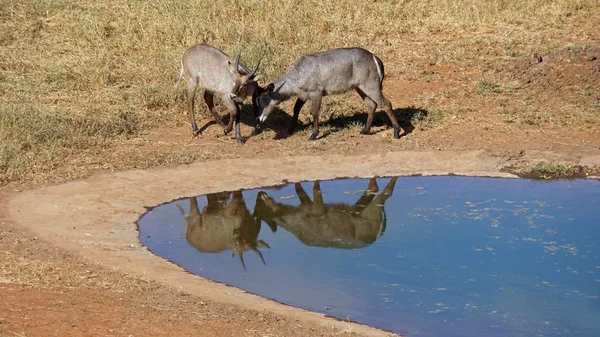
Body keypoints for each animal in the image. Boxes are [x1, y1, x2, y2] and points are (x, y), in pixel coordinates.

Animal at [254, 48, 400, 140]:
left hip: (371, 86)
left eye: (260, 99)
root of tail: (375, 58)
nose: (257, 119)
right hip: (360, 88)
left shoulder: (316, 93)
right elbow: (296, 109)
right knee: (372, 105)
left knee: (386, 104)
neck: (298, 74)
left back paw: (397, 132)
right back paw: (365, 130)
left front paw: (313, 135)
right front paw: (290, 129)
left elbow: (314, 112)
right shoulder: (303, 95)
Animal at [254, 177, 398, 248]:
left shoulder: (318, 208)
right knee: (373, 187)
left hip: (372, 210)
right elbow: (299, 188)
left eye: (259, 209)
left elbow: (315, 188)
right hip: (360, 208)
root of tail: (378, 234)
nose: (259, 193)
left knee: (385, 191)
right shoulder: (307, 203)